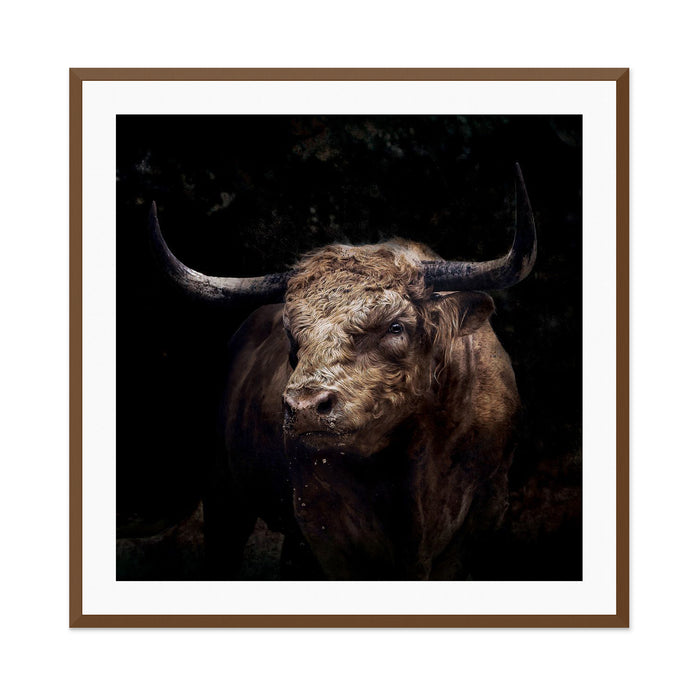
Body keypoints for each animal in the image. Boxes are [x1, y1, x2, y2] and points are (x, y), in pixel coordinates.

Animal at [148, 164, 536, 580]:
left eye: (395, 326)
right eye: (292, 335)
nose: (304, 408)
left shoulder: (485, 510)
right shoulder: (324, 524)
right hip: (224, 497)